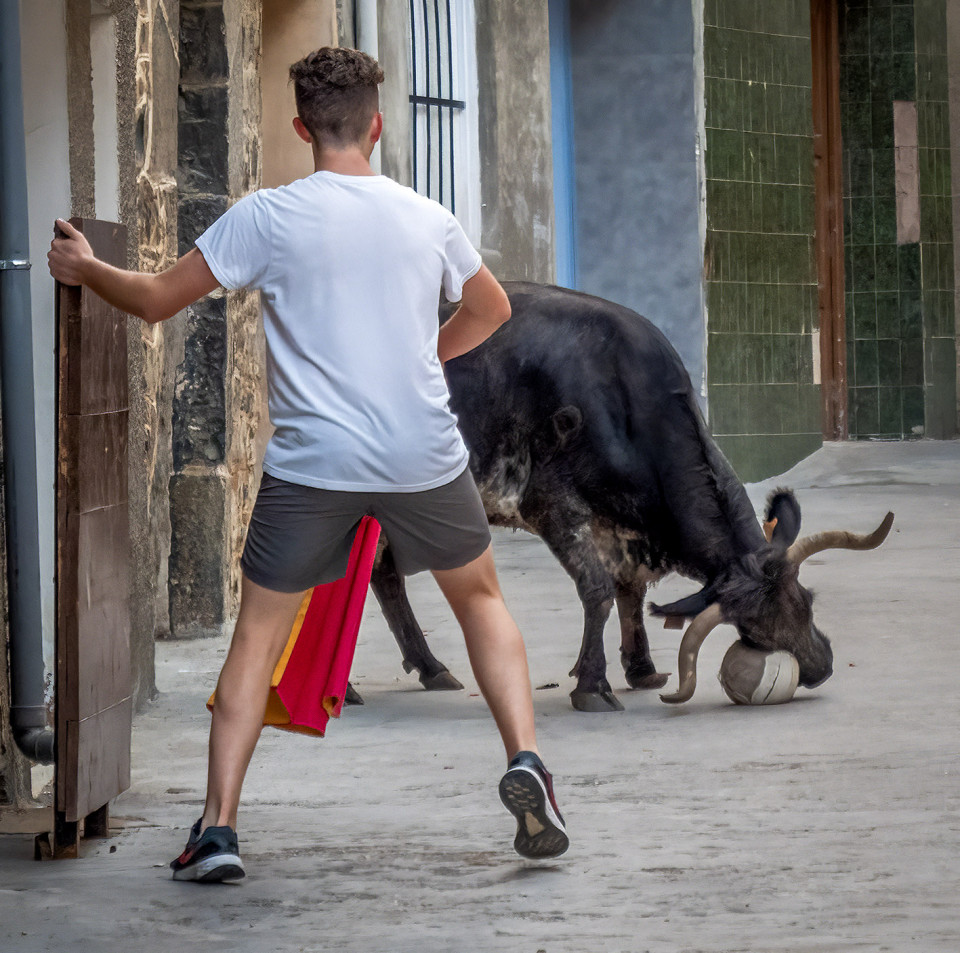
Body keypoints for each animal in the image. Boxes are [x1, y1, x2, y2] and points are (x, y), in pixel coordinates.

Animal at [366, 282, 893, 712]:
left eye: (806, 599)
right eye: (753, 631)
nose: (819, 669)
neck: (624, 399)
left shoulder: (621, 529)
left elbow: (630, 591)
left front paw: (640, 670)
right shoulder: (554, 507)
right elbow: (598, 591)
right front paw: (592, 685)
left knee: (382, 574)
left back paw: (429, 669)